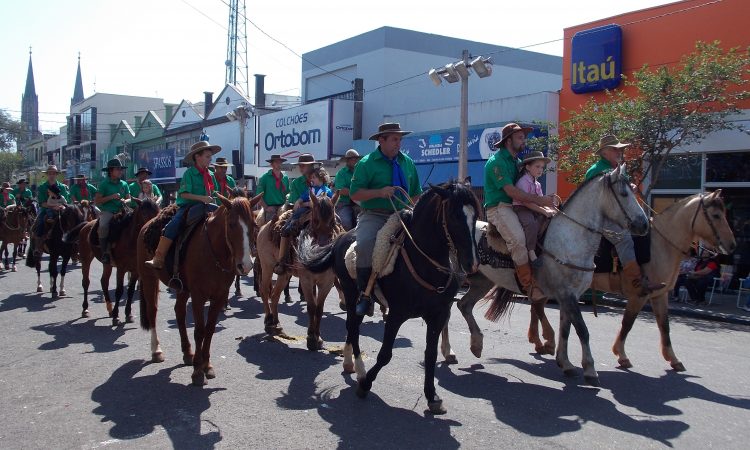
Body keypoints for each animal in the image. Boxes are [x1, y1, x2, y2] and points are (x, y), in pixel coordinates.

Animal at [138, 194, 262, 386]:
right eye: (231, 224)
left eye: (254, 225)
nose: (245, 265)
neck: (213, 252)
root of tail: (147, 225)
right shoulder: (198, 296)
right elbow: (199, 331)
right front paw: (197, 371)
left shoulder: (219, 296)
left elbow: (209, 330)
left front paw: (207, 365)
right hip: (149, 279)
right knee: (152, 311)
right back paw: (156, 350)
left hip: (182, 289)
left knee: (179, 312)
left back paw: (187, 352)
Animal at [302, 183, 482, 414]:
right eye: (453, 215)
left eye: (475, 215)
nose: (472, 263)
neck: (424, 262)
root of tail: (341, 237)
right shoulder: (396, 314)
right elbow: (385, 354)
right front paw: (365, 384)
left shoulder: (437, 315)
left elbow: (430, 356)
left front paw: (432, 396)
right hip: (351, 296)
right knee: (353, 327)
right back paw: (359, 369)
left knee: (352, 328)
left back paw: (349, 363)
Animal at [444, 165, 648, 386]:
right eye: (624, 193)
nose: (644, 224)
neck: (570, 239)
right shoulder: (567, 294)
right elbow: (582, 330)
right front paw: (590, 370)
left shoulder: (569, 296)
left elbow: (566, 329)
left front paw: (565, 363)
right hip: (454, 280)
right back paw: (448, 352)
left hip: (482, 282)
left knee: (464, 305)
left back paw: (476, 345)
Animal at [524, 188, 736, 370]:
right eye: (716, 215)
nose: (732, 246)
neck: (661, 245)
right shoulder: (639, 295)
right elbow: (628, 323)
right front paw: (621, 354)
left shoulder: (660, 295)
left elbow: (664, 326)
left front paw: (673, 358)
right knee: (537, 306)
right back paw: (545, 340)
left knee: (536, 306)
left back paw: (540, 340)